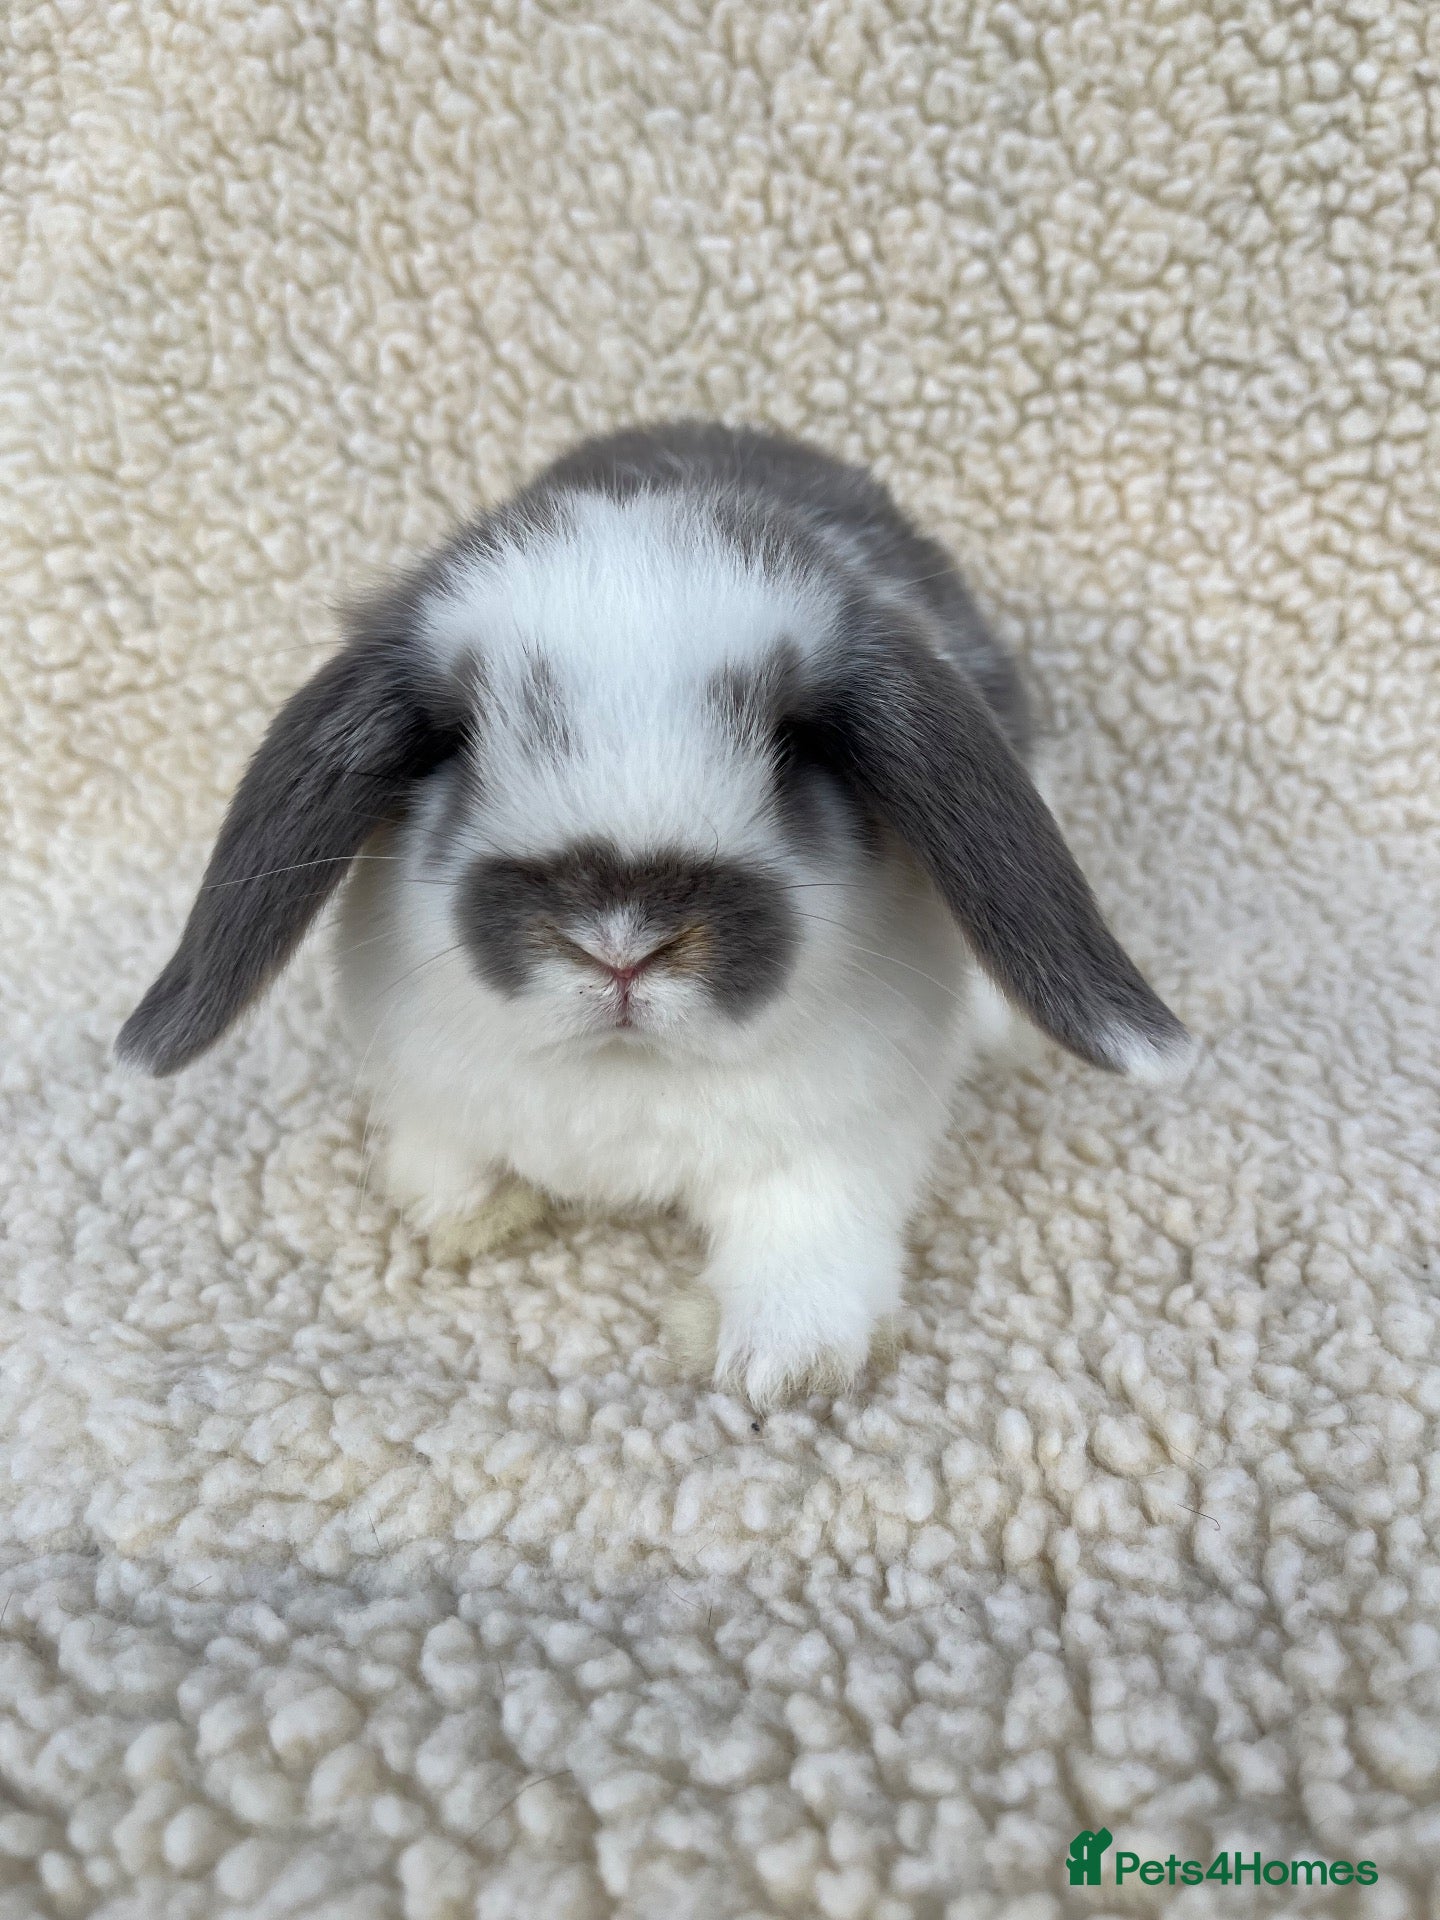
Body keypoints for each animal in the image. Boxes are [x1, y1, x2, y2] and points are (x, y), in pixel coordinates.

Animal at [118, 421, 1192, 1406]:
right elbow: (447, 1148)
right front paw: (461, 1209)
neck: (624, 1074)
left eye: (796, 750)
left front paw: (782, 1366)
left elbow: (807, 1232)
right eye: (456, 742)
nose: (621, 946)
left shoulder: (833, 1144)